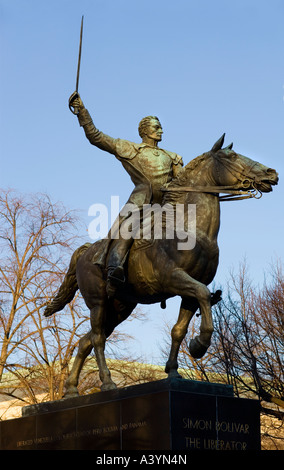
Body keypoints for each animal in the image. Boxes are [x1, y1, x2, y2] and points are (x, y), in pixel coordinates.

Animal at [43, 134, 278, 394]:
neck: (190, 229)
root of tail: (85, 252)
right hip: (98, 303)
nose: (272, 173)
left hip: (120, 307)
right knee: (97, 339)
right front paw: (199, 345)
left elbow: (179, 328)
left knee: (86, 341)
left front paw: (174, 370)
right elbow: (203, 294)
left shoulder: (188, 292)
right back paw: (107, 382)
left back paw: (71, 389)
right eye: (233, 156)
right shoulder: (173, 278)